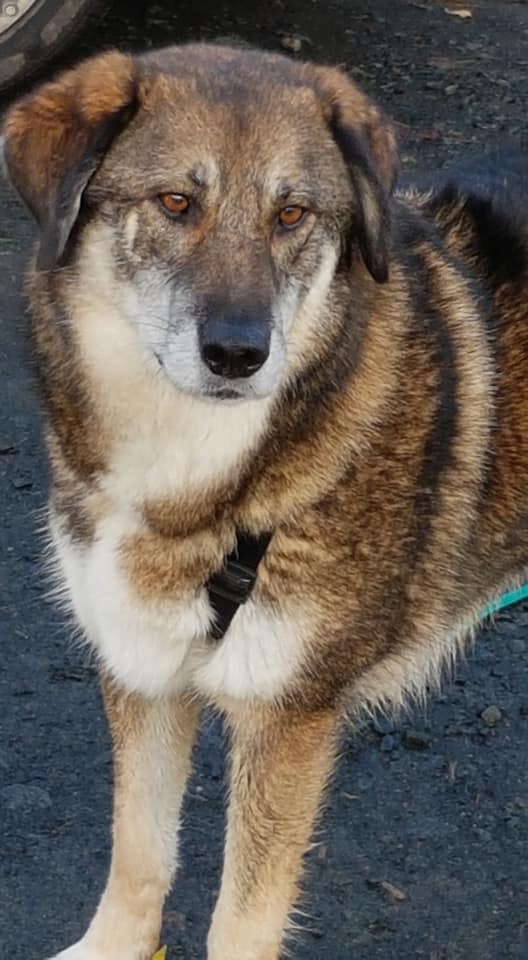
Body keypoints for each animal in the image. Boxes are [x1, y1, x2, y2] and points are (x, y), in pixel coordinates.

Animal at [4, 41, 528, 960]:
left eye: (292, 215)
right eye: (177, 202)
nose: (239, 354)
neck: (204, 483)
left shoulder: (287, 718)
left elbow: (239, 919)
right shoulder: (141, 669)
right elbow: (138, 854)